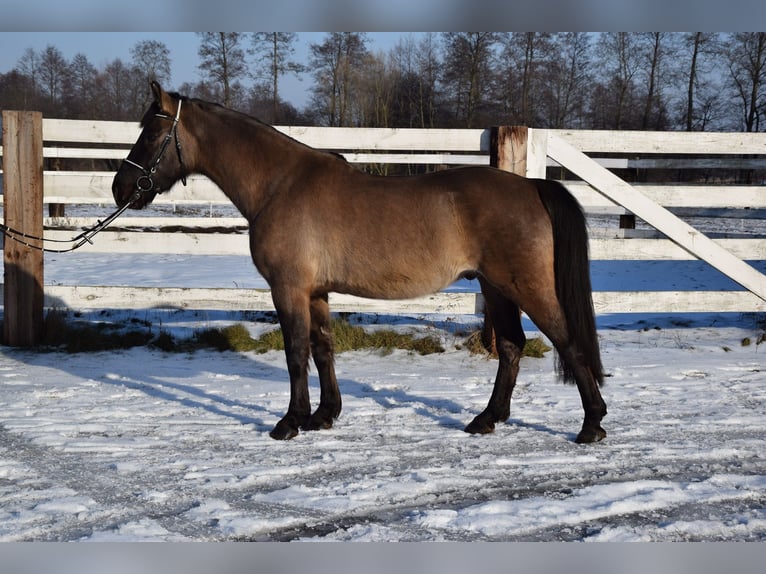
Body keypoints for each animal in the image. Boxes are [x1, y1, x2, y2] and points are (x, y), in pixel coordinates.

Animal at [112, 82, 607, 443]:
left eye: (151, 134)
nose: (121, 189)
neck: (279, 184)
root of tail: (531, 187)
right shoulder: (316, 292)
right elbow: (322, 349)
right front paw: (324, 415)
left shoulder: (289, 289)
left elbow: (295, 352)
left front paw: (289, 423)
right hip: (496, 287)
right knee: (510, 346)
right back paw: (487, 419)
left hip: (526, 286)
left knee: (567, 341)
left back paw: (591, 424)